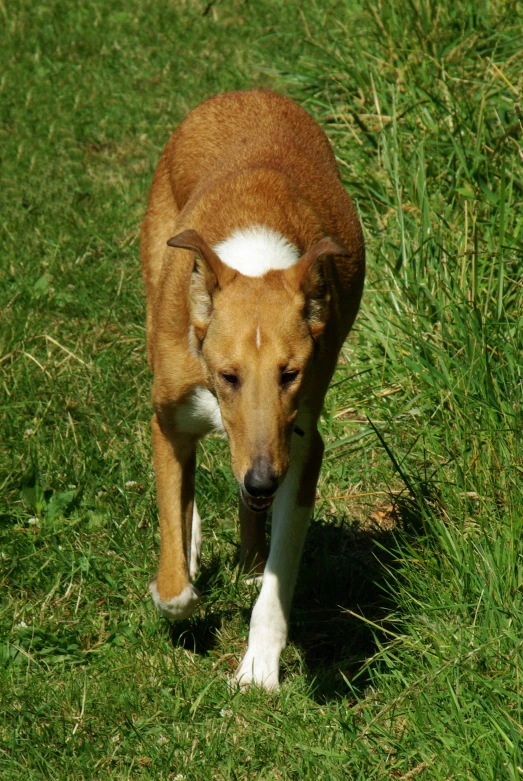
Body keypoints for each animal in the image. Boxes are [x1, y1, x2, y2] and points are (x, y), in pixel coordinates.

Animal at [141, 90, 366, 688]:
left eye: (291, 373)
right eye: (228, 375)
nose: (264, 480)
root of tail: (249, 93)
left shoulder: (301, 447)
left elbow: (277, 581)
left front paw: (260, 669)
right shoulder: (168, 421)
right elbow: (174, 582)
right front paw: (179, 576)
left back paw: (247, 556)